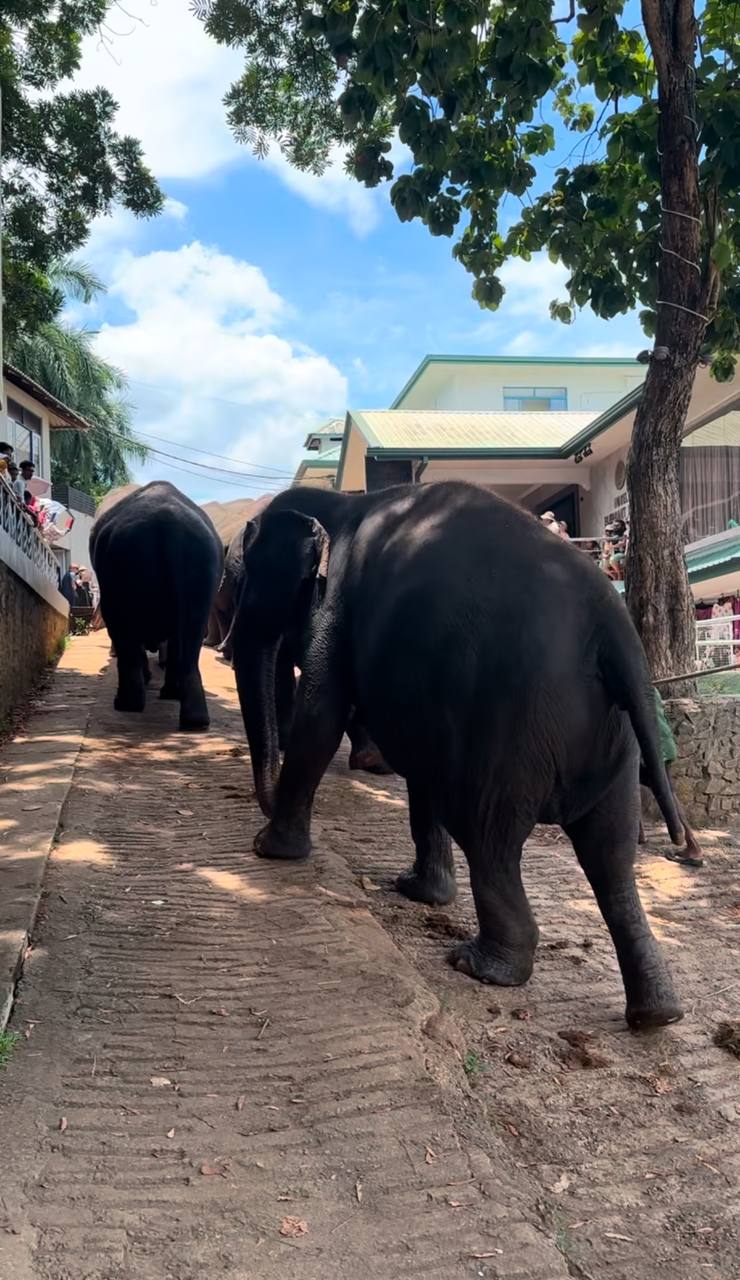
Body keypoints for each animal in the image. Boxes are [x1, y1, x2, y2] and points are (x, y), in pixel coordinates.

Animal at [90, 481, 221, 732]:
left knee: (124, 633)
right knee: (189, 639)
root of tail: (169, 522)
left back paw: (126, 704)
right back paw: (192, 716)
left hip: (119, 569)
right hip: (201, 570)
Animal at [239, 481, 681, 1029]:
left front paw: (270, 849)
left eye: (246, 575)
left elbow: (322, 714)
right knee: (611, 855)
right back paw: (658, 1014)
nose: (261, 808)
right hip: (614, 742)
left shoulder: (337, 606)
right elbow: (419, 770)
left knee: (488, 838)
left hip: (509, 726)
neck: (339, 502)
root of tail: (613, 626)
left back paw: (479, 966)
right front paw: (417, 890)